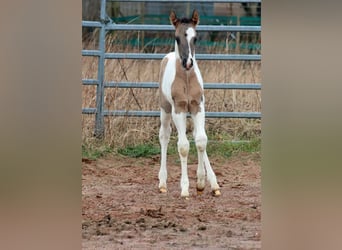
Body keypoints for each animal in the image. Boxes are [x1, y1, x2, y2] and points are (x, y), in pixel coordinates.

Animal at [158, 9, 220, 197]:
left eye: (196, 38)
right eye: (177, 38)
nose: (188, 63)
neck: (186, 77)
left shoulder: (197, 106)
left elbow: (201, 140)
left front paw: (202, 182)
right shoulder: (178, 109)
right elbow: (183, 146)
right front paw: (185, 188)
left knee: (196, 135)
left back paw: (211, 182)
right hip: (165, 109)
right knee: (164, 135)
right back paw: (162, 182)